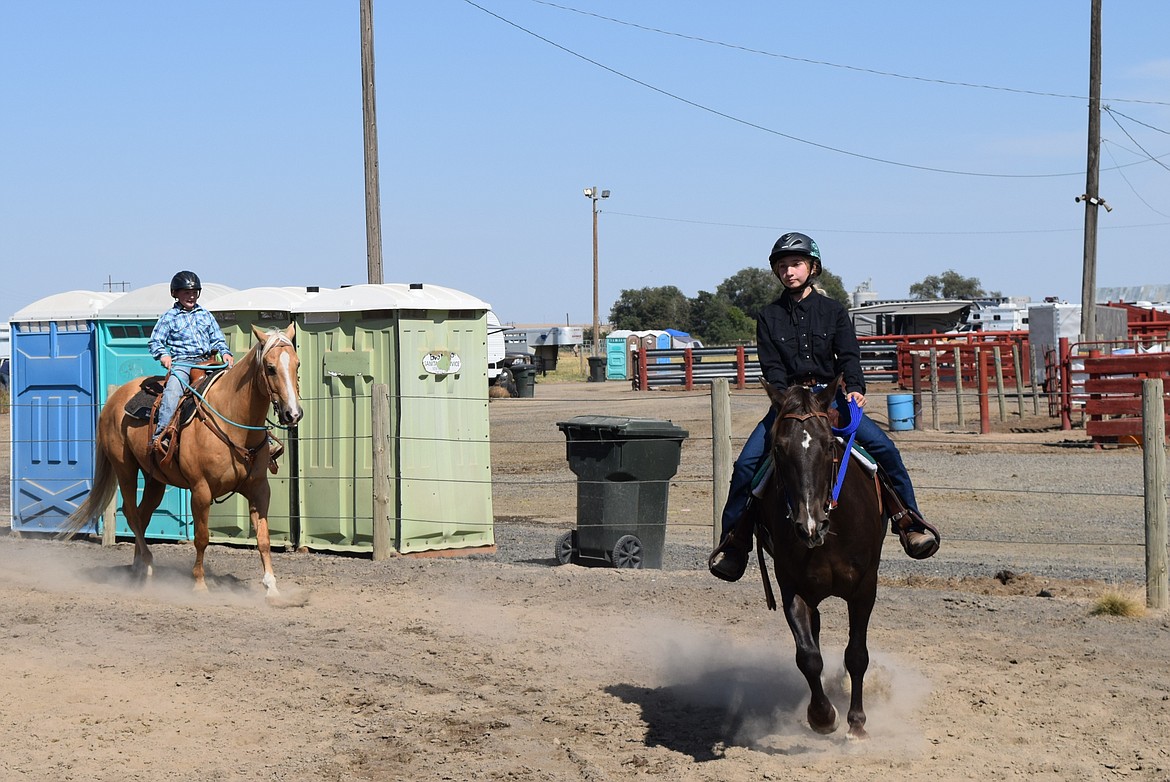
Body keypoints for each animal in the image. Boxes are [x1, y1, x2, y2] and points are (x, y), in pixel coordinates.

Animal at [60, 323, 301, 599]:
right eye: (270, 367)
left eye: (297, 364)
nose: (293, 414)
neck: (233, 421)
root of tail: (114, 398)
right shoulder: (201, 489)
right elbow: (201, 537)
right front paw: (199, 583)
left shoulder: (260, 488)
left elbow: (263, 538)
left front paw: (271, 587)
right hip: (125, 468)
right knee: (132, 514)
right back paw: (148, 565)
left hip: (155, 479)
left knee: (142, 516)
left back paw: (138, 568)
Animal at [753, 376, 879, 739]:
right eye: (779, 448)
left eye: (828, 445)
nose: (809, 524)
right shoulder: (791, 587)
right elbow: (808, 656)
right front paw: (823, 716)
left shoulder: (865, 588)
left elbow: (856, 655)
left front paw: (857, 723)